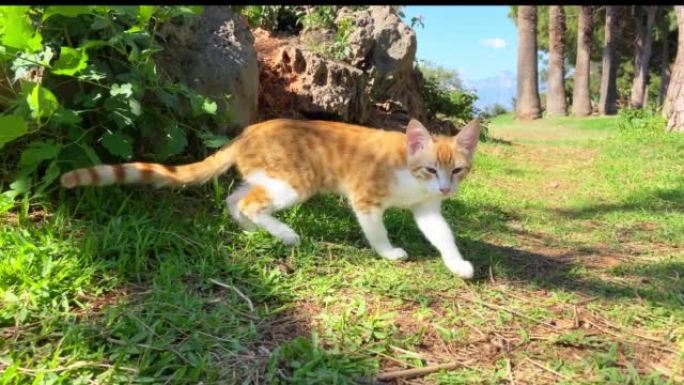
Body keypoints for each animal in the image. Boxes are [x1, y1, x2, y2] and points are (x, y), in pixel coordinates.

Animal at [62, 118, 480, 278]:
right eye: (431, 169)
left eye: (458, 170)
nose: (446, 188)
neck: (410, 176)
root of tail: (247, 132)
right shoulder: (365, 198)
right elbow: (376, 231)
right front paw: (388, 252)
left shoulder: (427, 208)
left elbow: (442, 234)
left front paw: (457, 264)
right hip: (293, 183)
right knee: (251, 202)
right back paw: (284, 234)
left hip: (267, 178)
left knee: (236, 199)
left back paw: (251, 231)